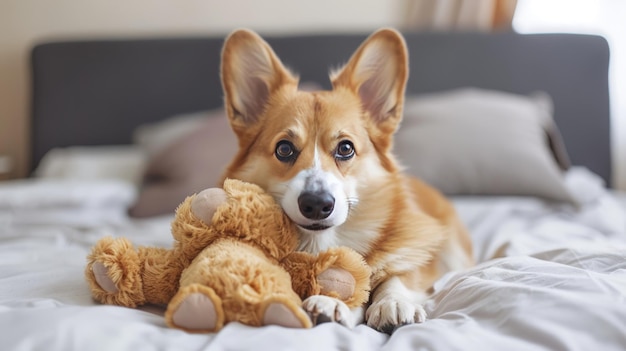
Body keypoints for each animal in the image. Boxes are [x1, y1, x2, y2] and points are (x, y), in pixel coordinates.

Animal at [219, 28, 472, 332]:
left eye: (346, 148)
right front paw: (335, 304)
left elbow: (399, 274)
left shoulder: (419, 263)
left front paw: (393, 302)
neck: (321, 243)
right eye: (284, 149)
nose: (316, 204)